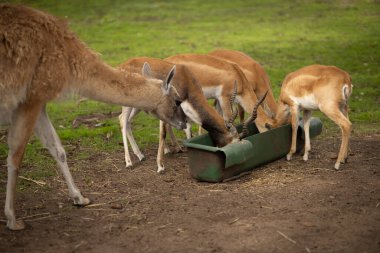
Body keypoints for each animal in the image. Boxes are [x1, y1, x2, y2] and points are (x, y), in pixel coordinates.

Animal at [0, 3, 187, 230]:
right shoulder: (30, 99)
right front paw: (12, 219)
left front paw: (80, 198)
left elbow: (58, 150)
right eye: (177, 100)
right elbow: (16, 157)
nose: (184, 122)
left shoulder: (40, 101)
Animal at [117, 57, 268, 172]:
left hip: (138, 106)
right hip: (129, 104)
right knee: (123, 120)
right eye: (235, 143)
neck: (186, 82)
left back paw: (140, 155)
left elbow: (187, 128)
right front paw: (160, 166)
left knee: (126, 121)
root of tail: (123, 65)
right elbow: (163, 133)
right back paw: (129, 162)